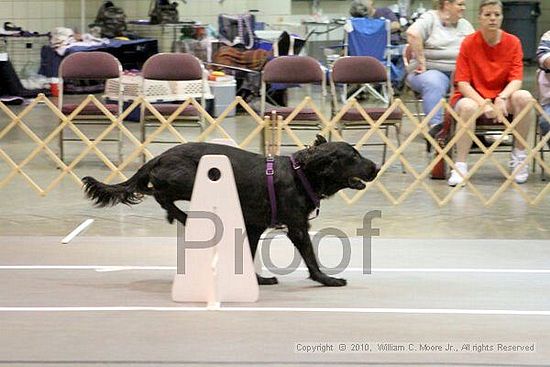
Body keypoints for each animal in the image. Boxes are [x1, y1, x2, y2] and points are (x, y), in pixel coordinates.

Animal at [83, 136, 380, 288]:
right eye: (353, 157)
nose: (377, 167)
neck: (303, 174)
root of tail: (159, 157)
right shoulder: (296, 226)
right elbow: (310, 256)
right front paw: (327, 279)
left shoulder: (255, 226)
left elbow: (249, 254)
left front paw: (258, 279)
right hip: (190, 180)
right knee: (158, 193)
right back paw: (181, 216)